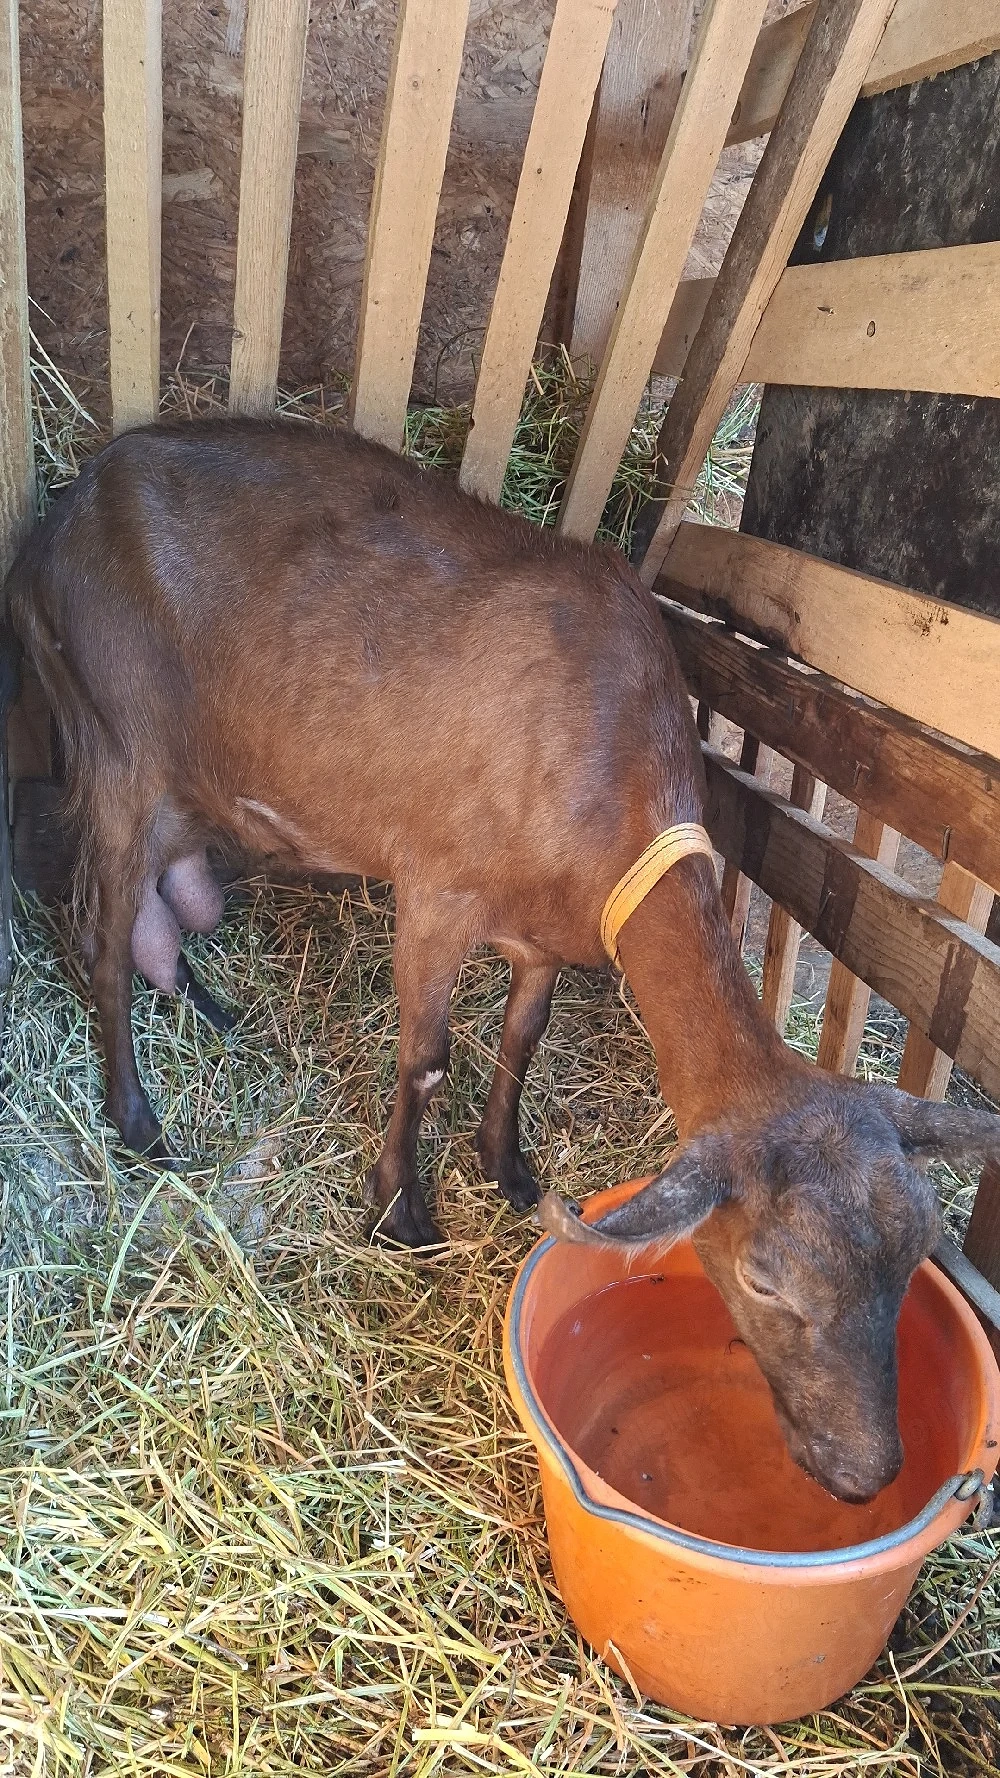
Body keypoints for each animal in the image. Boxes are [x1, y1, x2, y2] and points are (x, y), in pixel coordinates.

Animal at [5, 417, 999, 1503]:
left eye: (915, 1256)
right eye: (761, 1276)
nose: (865, 1473)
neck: (609, 765)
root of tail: (56, 521)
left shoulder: (547, 930)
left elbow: (523, 1037)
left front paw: (507, 1167)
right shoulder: (436, 890)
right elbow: (426, 1059)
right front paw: (402, 1208)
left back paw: (218, 1016)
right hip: (119, 744)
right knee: (103, 940)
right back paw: (139, 1122)